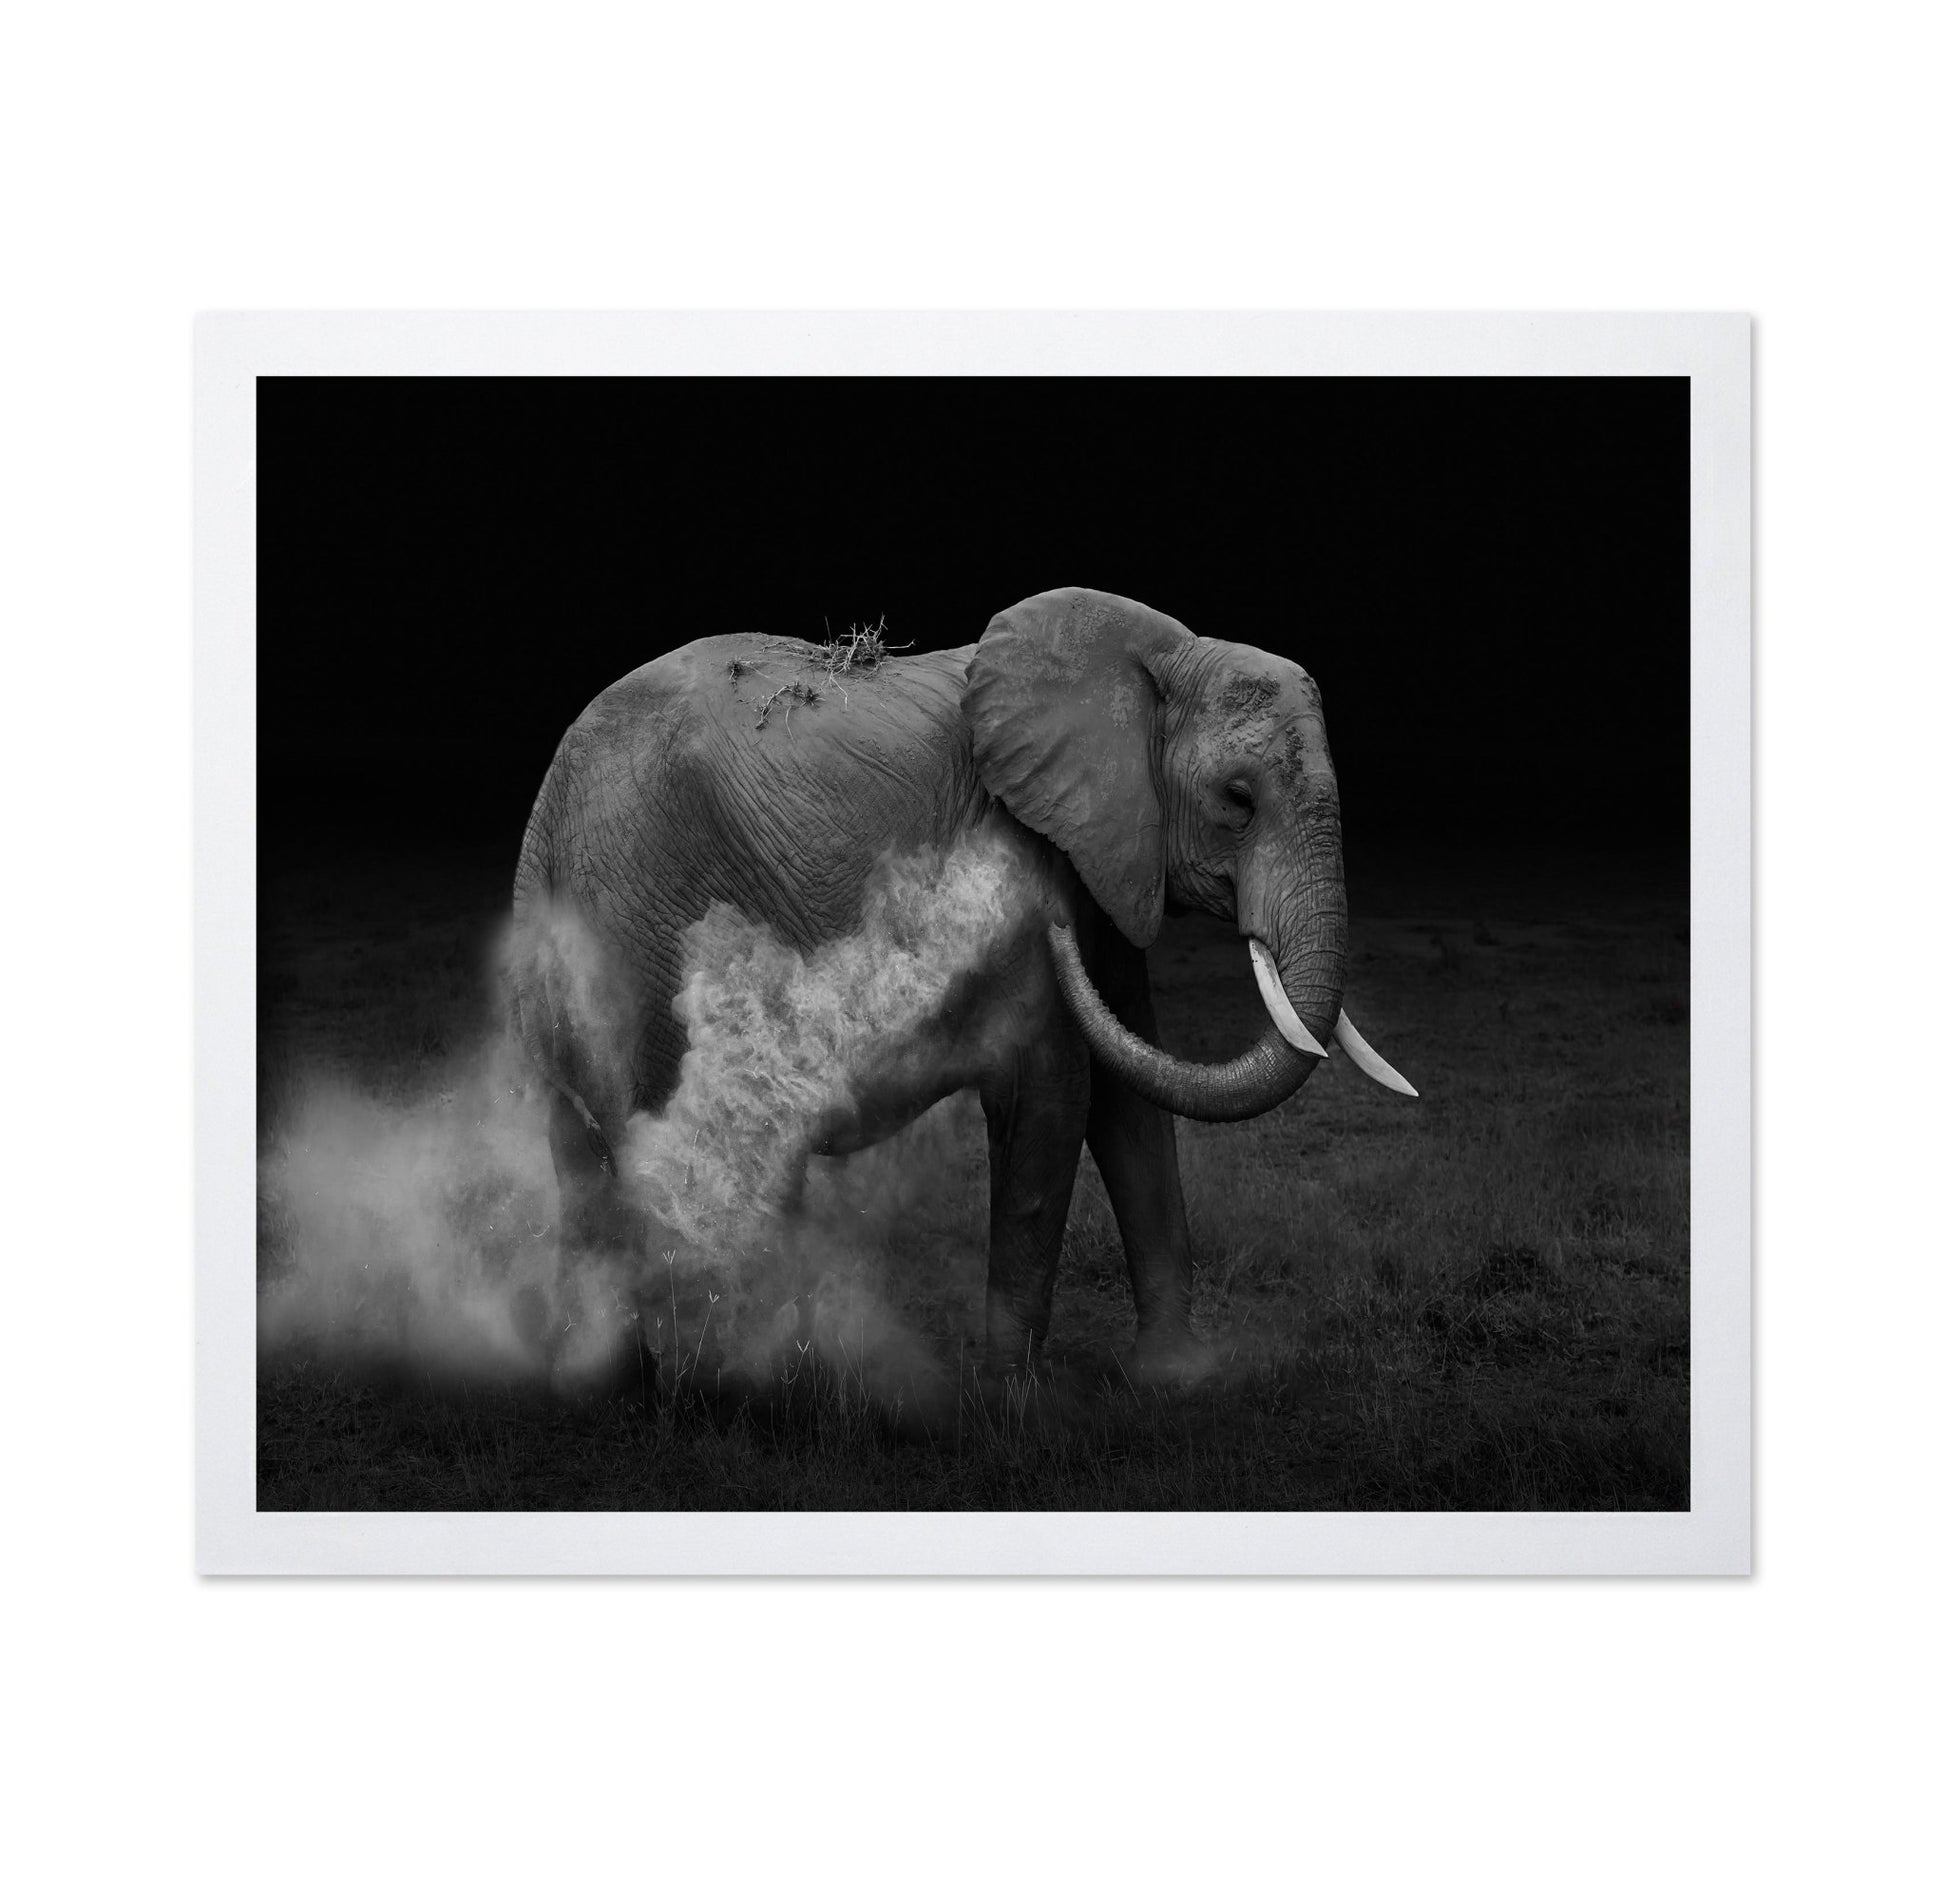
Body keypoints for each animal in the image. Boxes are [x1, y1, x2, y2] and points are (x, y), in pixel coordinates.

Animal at [507, 586, 1413, 1383]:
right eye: (1238, 800)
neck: (1158, 655)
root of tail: (552, 788)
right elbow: (1054, 1090)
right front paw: (1013, 1400)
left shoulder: (1108, 857)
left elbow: (1130, 1101)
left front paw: (1175, 1379)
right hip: (642, 926)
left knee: (589, 1154)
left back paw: (626, 1384)